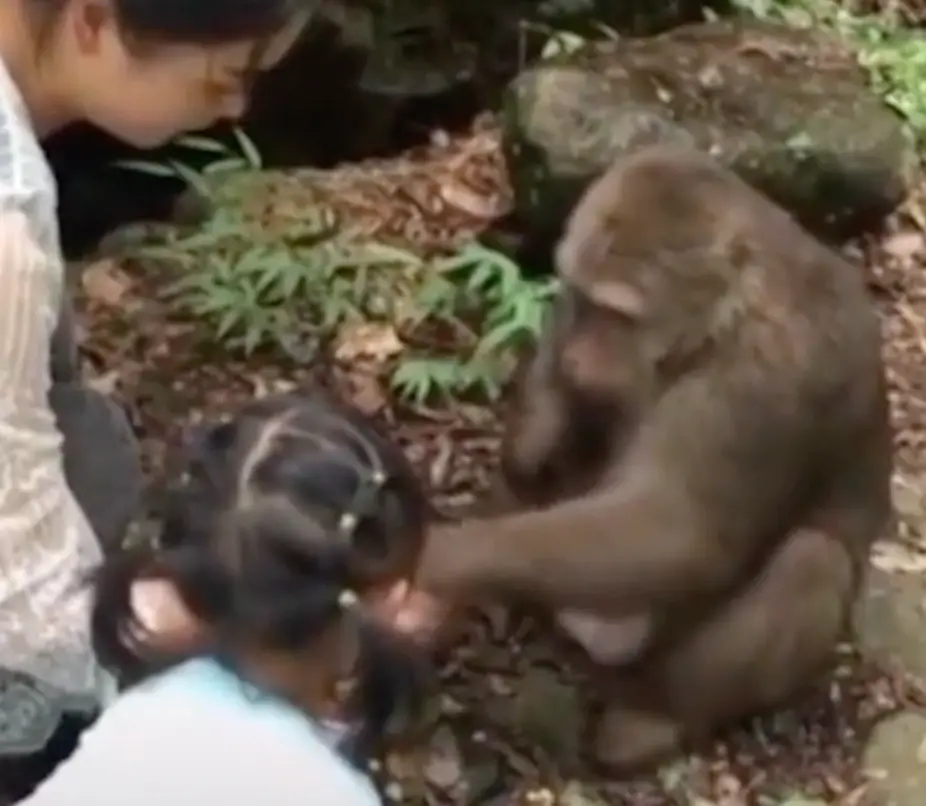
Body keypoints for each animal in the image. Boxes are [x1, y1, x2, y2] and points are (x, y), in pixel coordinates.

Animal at [410, 145, 893, 772]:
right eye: (583, 299)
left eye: (619, 315)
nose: (582, 355)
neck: (720, 322)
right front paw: (535, 432)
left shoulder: (759, 385)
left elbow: (682, 530)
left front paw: (439, 555)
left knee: (813, 559)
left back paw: (657, 717)